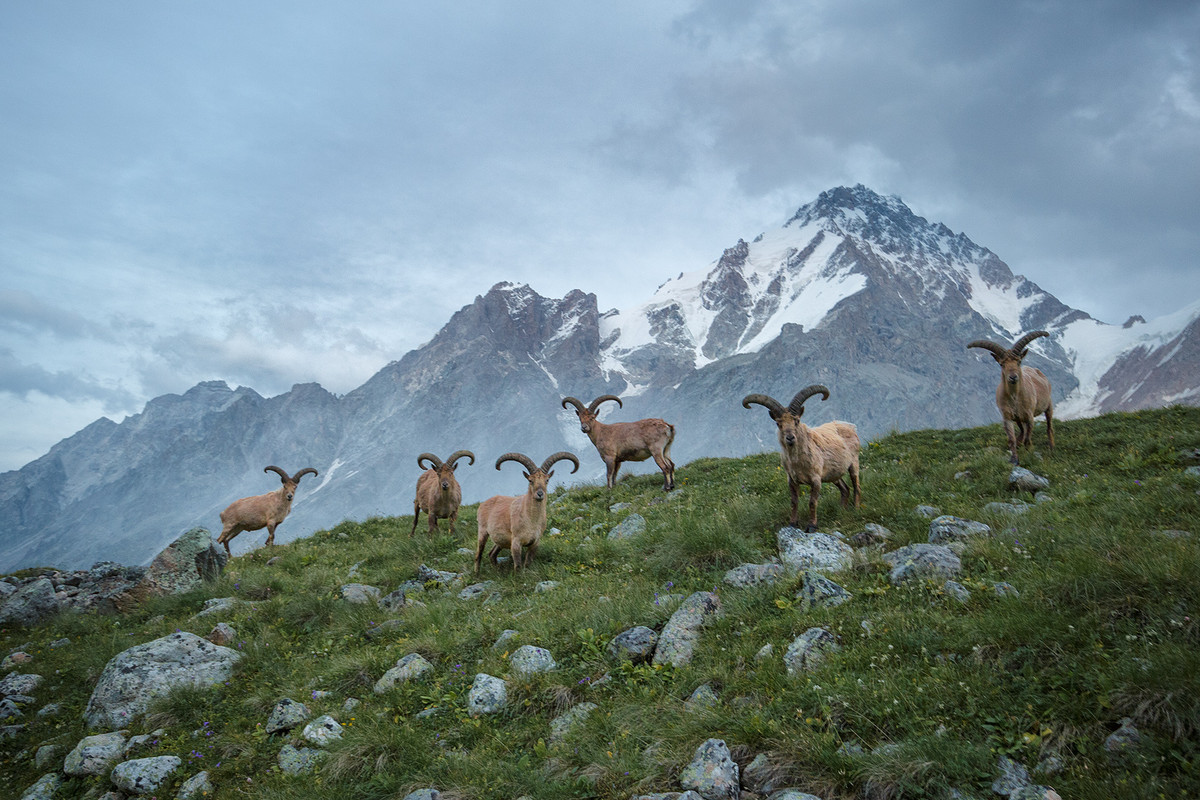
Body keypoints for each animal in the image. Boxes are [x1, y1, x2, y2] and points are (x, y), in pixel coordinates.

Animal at [744, 386, 859, 534]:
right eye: (778, 423)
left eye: (797, 421)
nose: (790, 438)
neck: (797, 462)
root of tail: (850, 426)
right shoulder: (792, 480)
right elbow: (794, 501)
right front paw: (793, 523)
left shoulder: (816, 479)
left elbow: (812, 502)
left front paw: (812, 526)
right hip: (833, 474)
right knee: (845, 489)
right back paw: (841, 510)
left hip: (854, 463)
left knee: (856, 486)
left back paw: (856, 508)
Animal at [969, 331, 1056, 465]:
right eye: (1002, 364)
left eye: (1019, 361)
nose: (1013, 377)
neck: (1015, 398)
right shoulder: (1007, 417)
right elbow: (1012, 439)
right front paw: (1014, 459)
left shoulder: (1029, 416)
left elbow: (1028, 438)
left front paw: (1029, 452)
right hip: (1018, 418)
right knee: (1022, 430)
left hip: (1048, 406)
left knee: (1049, 427)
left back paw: (1051, 447)